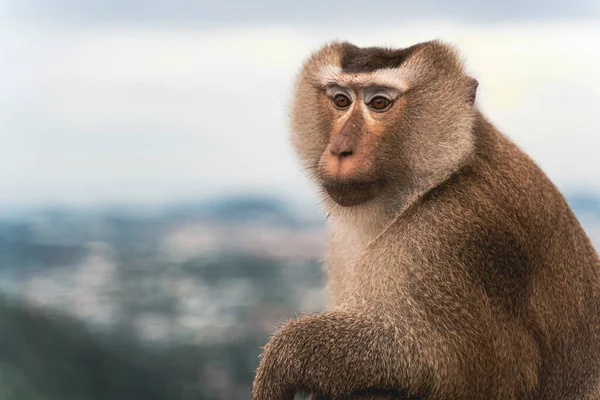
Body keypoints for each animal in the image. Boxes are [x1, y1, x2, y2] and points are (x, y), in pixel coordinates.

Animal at [251, 39, 600, 398]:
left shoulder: (450, 241)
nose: (340, 149)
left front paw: (289, 352)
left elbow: (460, 369)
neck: (433, 182)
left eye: (379, 103)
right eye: (341, 100)